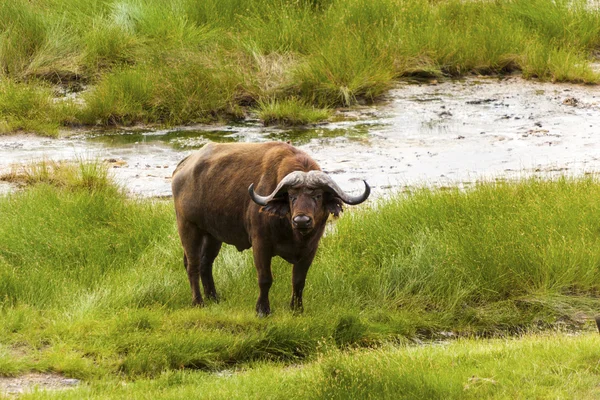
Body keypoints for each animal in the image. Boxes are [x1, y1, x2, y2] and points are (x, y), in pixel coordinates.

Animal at [172, 141, 370, 316]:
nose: (302, 220)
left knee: (206, 263)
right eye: (291, 196)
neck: (294, 233)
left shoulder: (310, 249)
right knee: (193, 265)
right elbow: (265, 279)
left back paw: (214, 297)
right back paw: (199, 301)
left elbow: (299, 281)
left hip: (212, 234)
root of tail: (183, 166)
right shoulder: (261, 244)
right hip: (188, 227)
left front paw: (297, 309)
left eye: (318, 196)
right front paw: (262, 310)